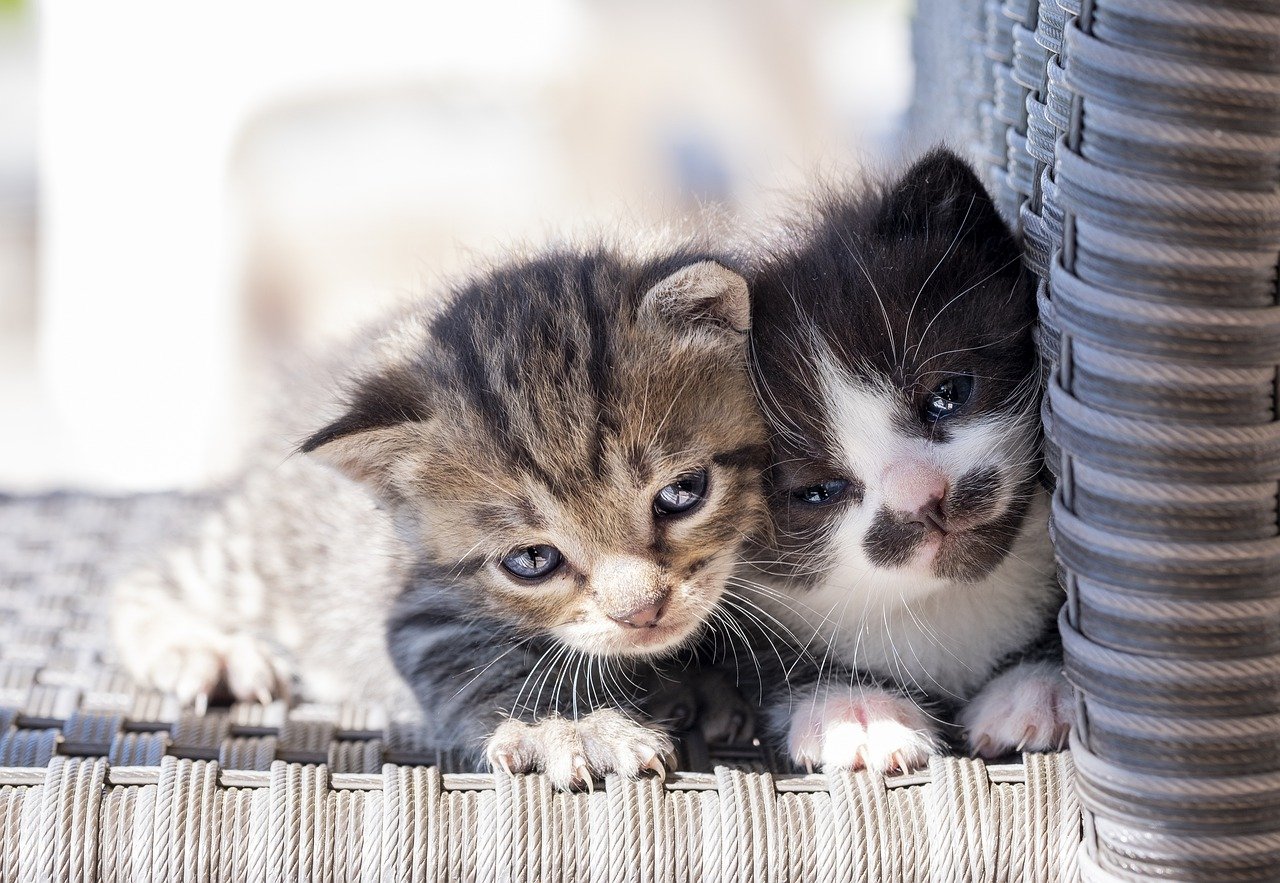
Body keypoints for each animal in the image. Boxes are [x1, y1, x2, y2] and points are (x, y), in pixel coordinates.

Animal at [110, 241, 762, 783]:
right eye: (532, 559)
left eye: (683, 493)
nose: (642, 613)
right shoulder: (418, 611)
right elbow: (483, 663)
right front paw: (569, 729)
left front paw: (707, 679)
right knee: (149, 579)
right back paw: (201, 649)